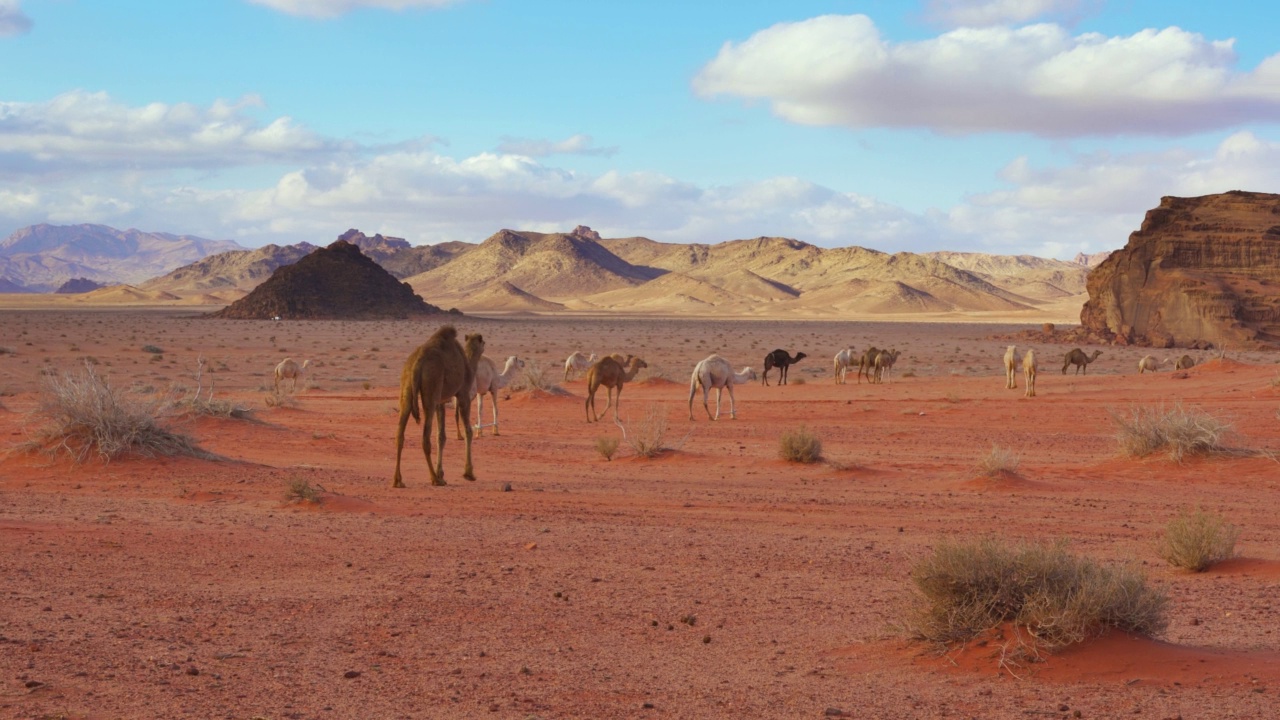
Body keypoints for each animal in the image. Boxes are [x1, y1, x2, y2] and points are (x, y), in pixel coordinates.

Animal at [389, 325, 483, 486]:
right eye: (483, 342)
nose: (484, 345)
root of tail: (418, 362)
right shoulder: (463, 394)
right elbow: (468, 431)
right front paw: (469, 473)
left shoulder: (441, 402)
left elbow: (441, 436)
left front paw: (441, 473)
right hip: (431, 388)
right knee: (425, 437)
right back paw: (434, 479)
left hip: (406, 386)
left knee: (400, 434)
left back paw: (398, 481)